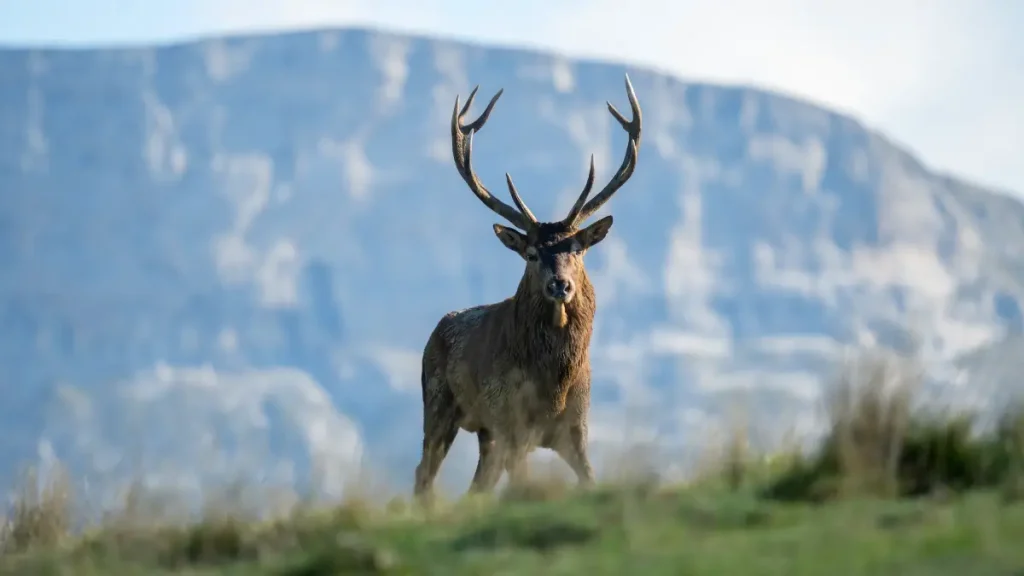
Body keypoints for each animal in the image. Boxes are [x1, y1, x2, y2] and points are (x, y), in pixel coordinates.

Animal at [413, 75, 642, 498]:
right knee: (424, 472)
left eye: (578, 249)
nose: (560, 285)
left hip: (485, 432)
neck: (555, 385)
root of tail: (437, 329)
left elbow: (590, 479)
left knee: (477, 484)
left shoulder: (576, 427)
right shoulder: (512, 422)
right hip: (439, 402)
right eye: (532, 253)